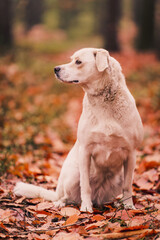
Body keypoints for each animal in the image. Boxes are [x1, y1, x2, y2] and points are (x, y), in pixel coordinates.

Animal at [14, 47, 143, 212]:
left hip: (118, 176)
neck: (104, 101)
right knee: (66, 196)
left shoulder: (131, 153)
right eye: (72, 59)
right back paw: (61, 203)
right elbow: (85, 186)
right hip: (73, 174)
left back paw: (114, 203)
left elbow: (128, 185)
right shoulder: (85, 151)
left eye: (78, 62)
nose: (55, 69)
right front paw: (86, 207)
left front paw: (128, 205)